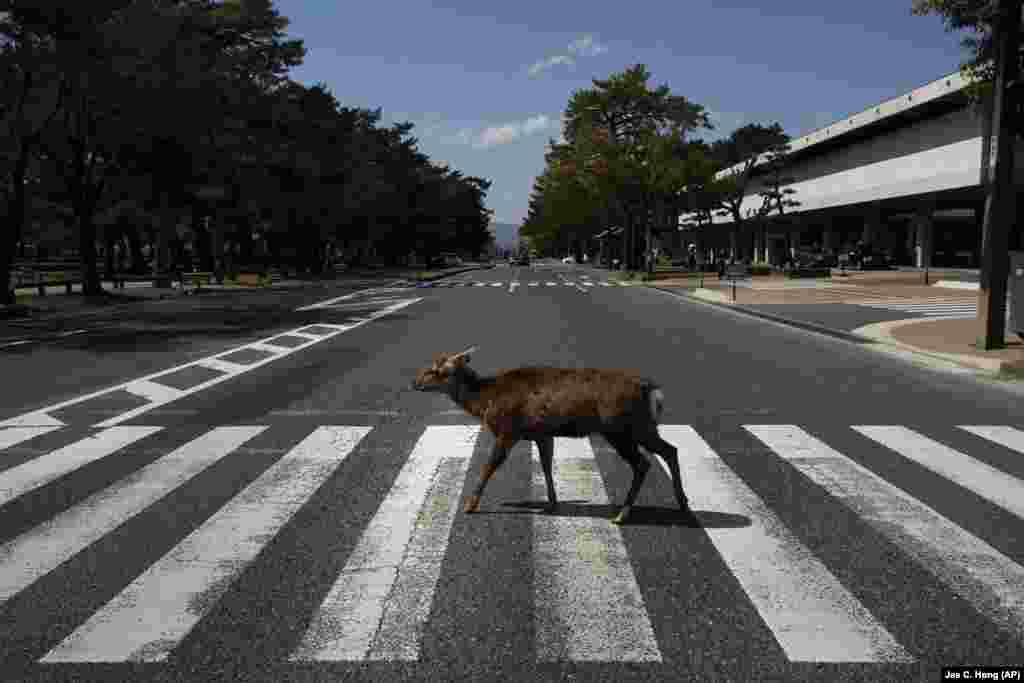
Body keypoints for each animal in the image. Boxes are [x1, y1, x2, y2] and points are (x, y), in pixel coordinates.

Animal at [407, 344, 688, 528]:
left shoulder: (509, 430)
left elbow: (490, 465)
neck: (486, 401)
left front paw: (470, 505)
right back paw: (683, 503)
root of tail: (653, 391)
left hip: (619, 428)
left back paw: (622, 515)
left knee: (643, 463)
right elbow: (546, 465)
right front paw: (552, 503)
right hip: (643, 427)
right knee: (670, 449)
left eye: (436, 370)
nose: (414, 382)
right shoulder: (542, 433)